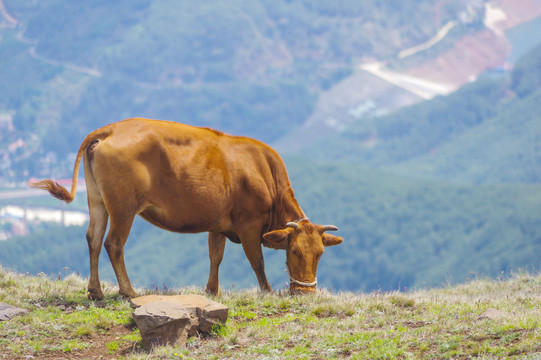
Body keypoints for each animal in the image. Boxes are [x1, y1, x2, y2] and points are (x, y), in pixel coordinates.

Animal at [31, 118, 342, 298]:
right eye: (294, 251)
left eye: (320, 253)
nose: (306, 292)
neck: (266, 175)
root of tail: (108, 129)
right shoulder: (248, 224)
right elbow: (257, 260)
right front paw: (266, 291)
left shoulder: (219, 224)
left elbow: (215, 257)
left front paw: (211, 291)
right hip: (124, 207)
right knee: (113, 243)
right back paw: (129, 292)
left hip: (97, 201)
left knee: (93, 239)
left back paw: (95, 291)